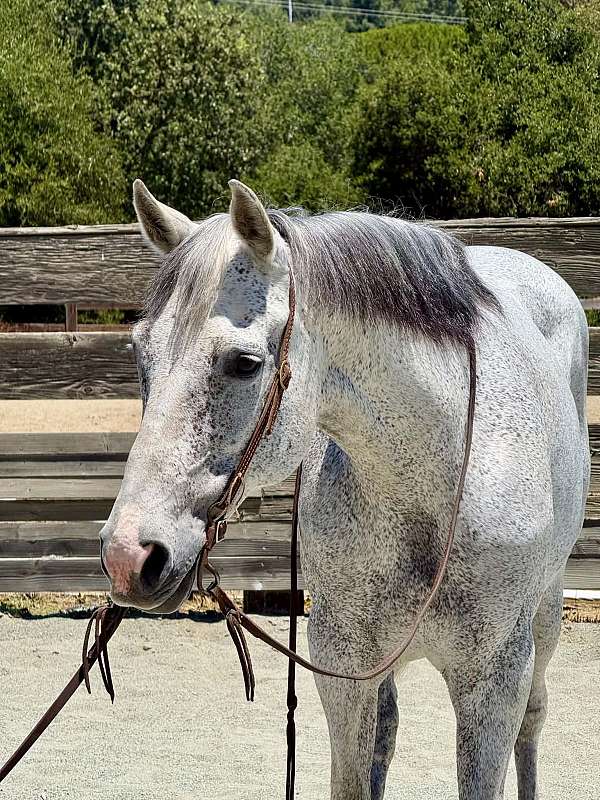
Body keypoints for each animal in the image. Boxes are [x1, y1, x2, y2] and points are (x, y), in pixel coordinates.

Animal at [100, 178, 590, 800]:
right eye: (141, 353)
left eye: (244, 363)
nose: (128, 557)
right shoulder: (344, 667)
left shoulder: (495, 681)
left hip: (544, 622)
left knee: (534, 718)